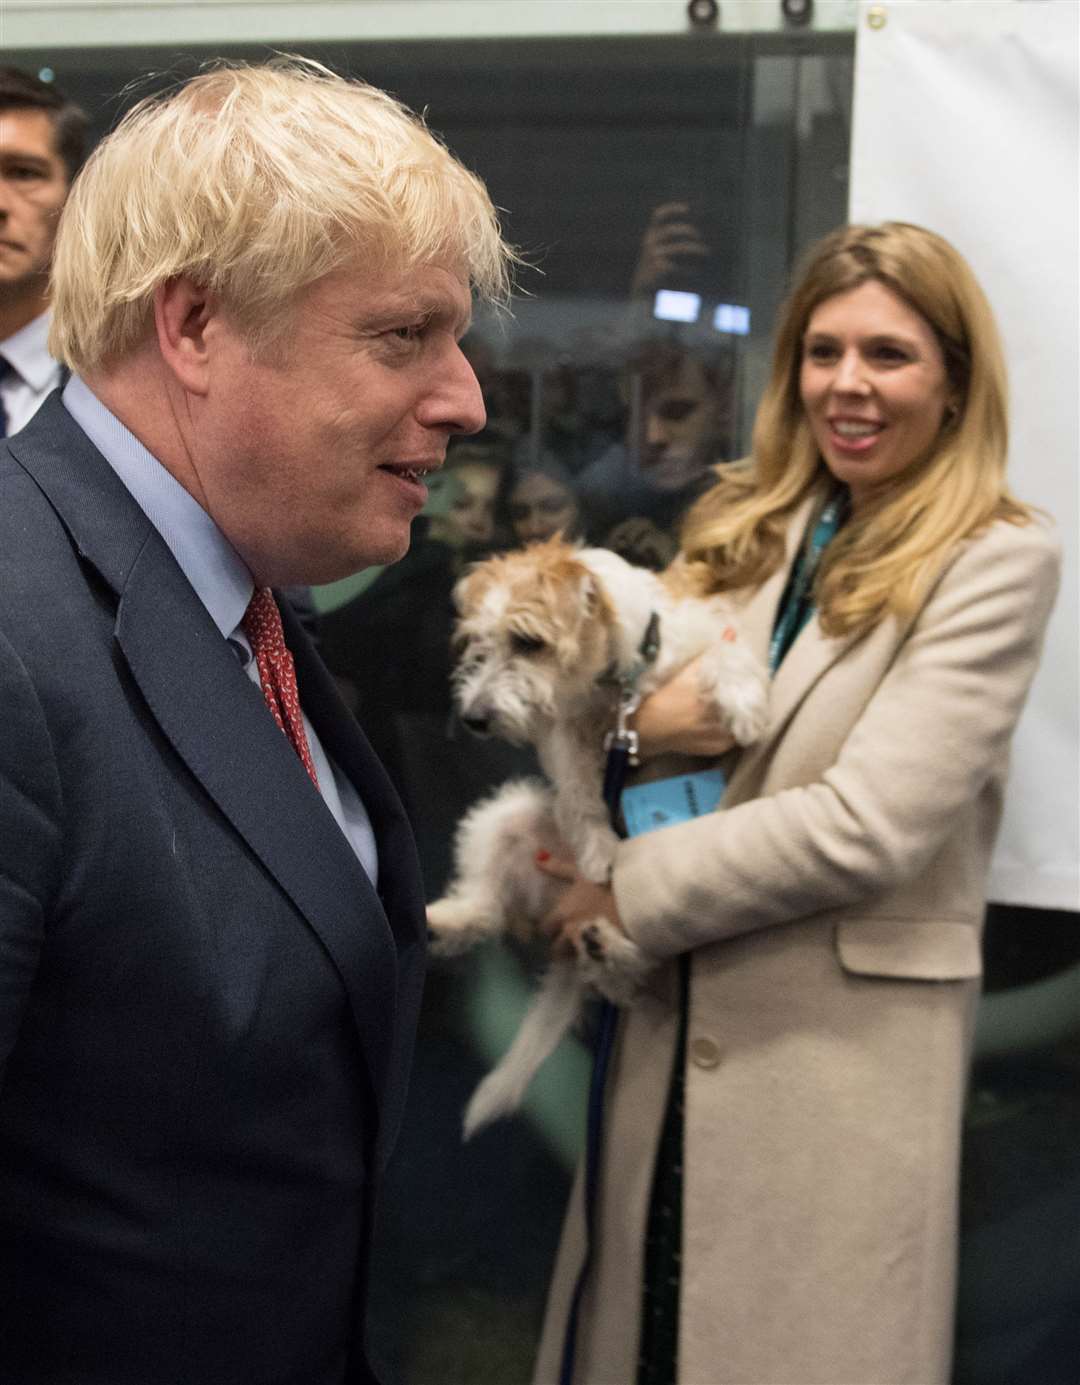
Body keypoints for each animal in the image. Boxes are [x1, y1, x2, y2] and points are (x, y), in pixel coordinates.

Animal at [426, 534, 769, 1130]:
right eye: (478, 644)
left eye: (528, 640)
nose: (473, 719)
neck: (615, 680)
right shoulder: (565, 731)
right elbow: (580, 792)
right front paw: (599, 852)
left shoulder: (705, 635)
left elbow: (726, 655)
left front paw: (744, 705)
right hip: (502, 817)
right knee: (486, 910)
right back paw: (448, 920)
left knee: (628, 977)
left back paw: (605, 946)